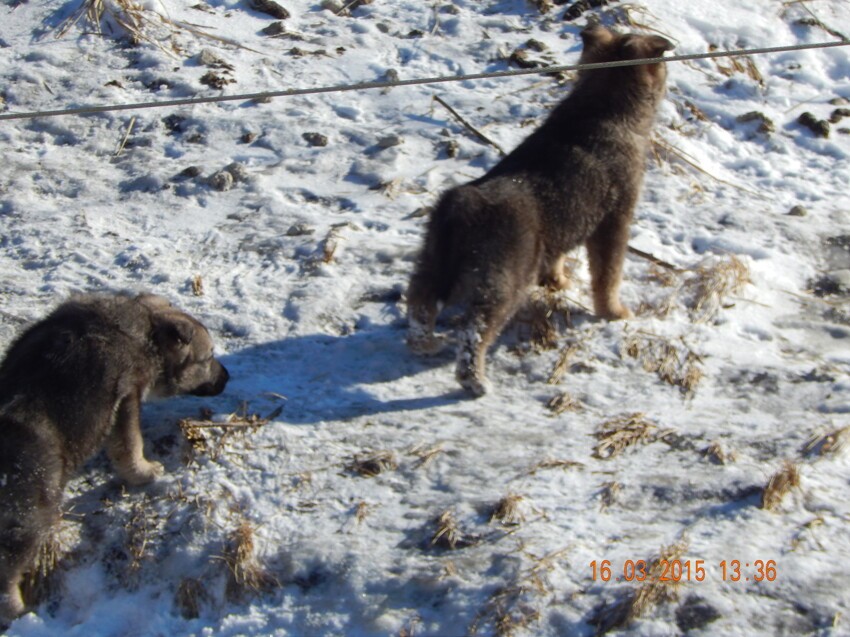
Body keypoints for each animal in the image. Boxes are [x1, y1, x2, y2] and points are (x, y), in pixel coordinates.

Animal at [0, 294, 229, 620]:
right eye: (206, 358)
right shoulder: (126, 397)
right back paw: (19, 611)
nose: (228, 377)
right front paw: (144, 472)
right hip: (30, 515)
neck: (147, 331)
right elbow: (130, 444)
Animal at [408, 27, 672, 396]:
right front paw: (614, 312)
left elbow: (558, 257)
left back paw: (426, 344)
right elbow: (608, 276)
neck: (601, 107)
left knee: (419, 301)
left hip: (432, 260)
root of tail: (465, 204)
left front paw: (557, 281)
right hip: (504, 280)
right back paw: (474, 380)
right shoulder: (614, 221)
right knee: (475, 330)